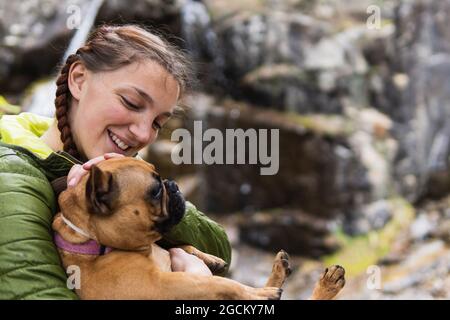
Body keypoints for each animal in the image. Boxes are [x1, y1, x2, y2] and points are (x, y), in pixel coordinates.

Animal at [51, 158, 344, 300]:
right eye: (155, 191)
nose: (173, 185)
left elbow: (182, 246)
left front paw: (211, 258)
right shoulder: (169, 286)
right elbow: (224, 285)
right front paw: (255, 293)